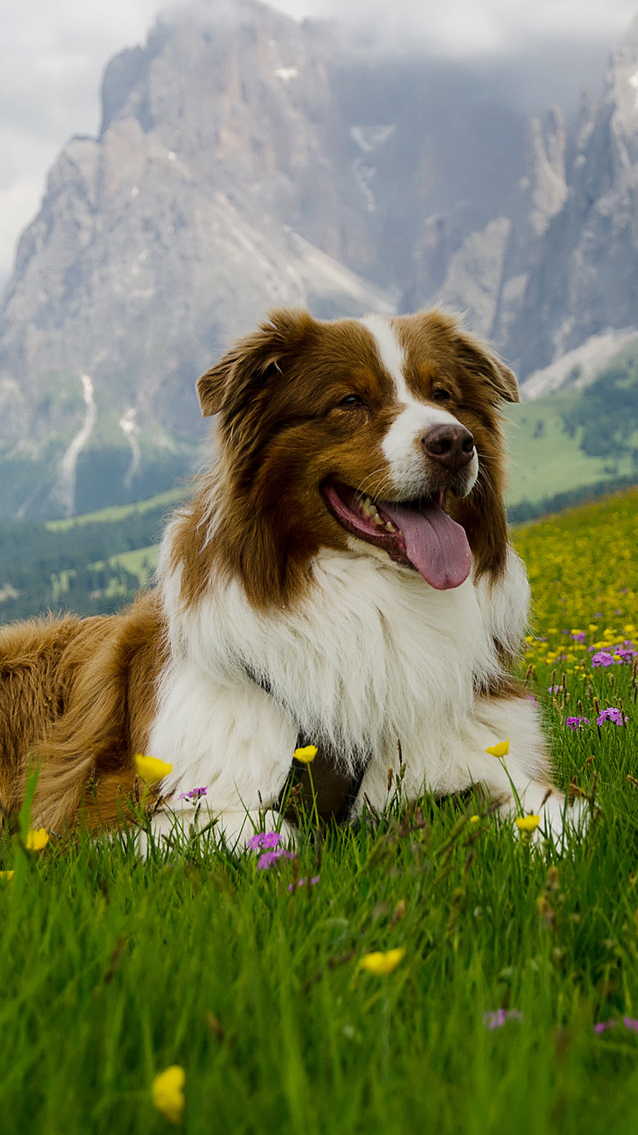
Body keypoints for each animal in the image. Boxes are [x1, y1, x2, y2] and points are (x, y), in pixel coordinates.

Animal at [0, 308, 576, 844]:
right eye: (350, 402)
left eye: (443, 394)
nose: (455, 443)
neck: (376, 600)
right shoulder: (114, 811)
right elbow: (273, 833)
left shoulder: (484, 747)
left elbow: (547, 813)